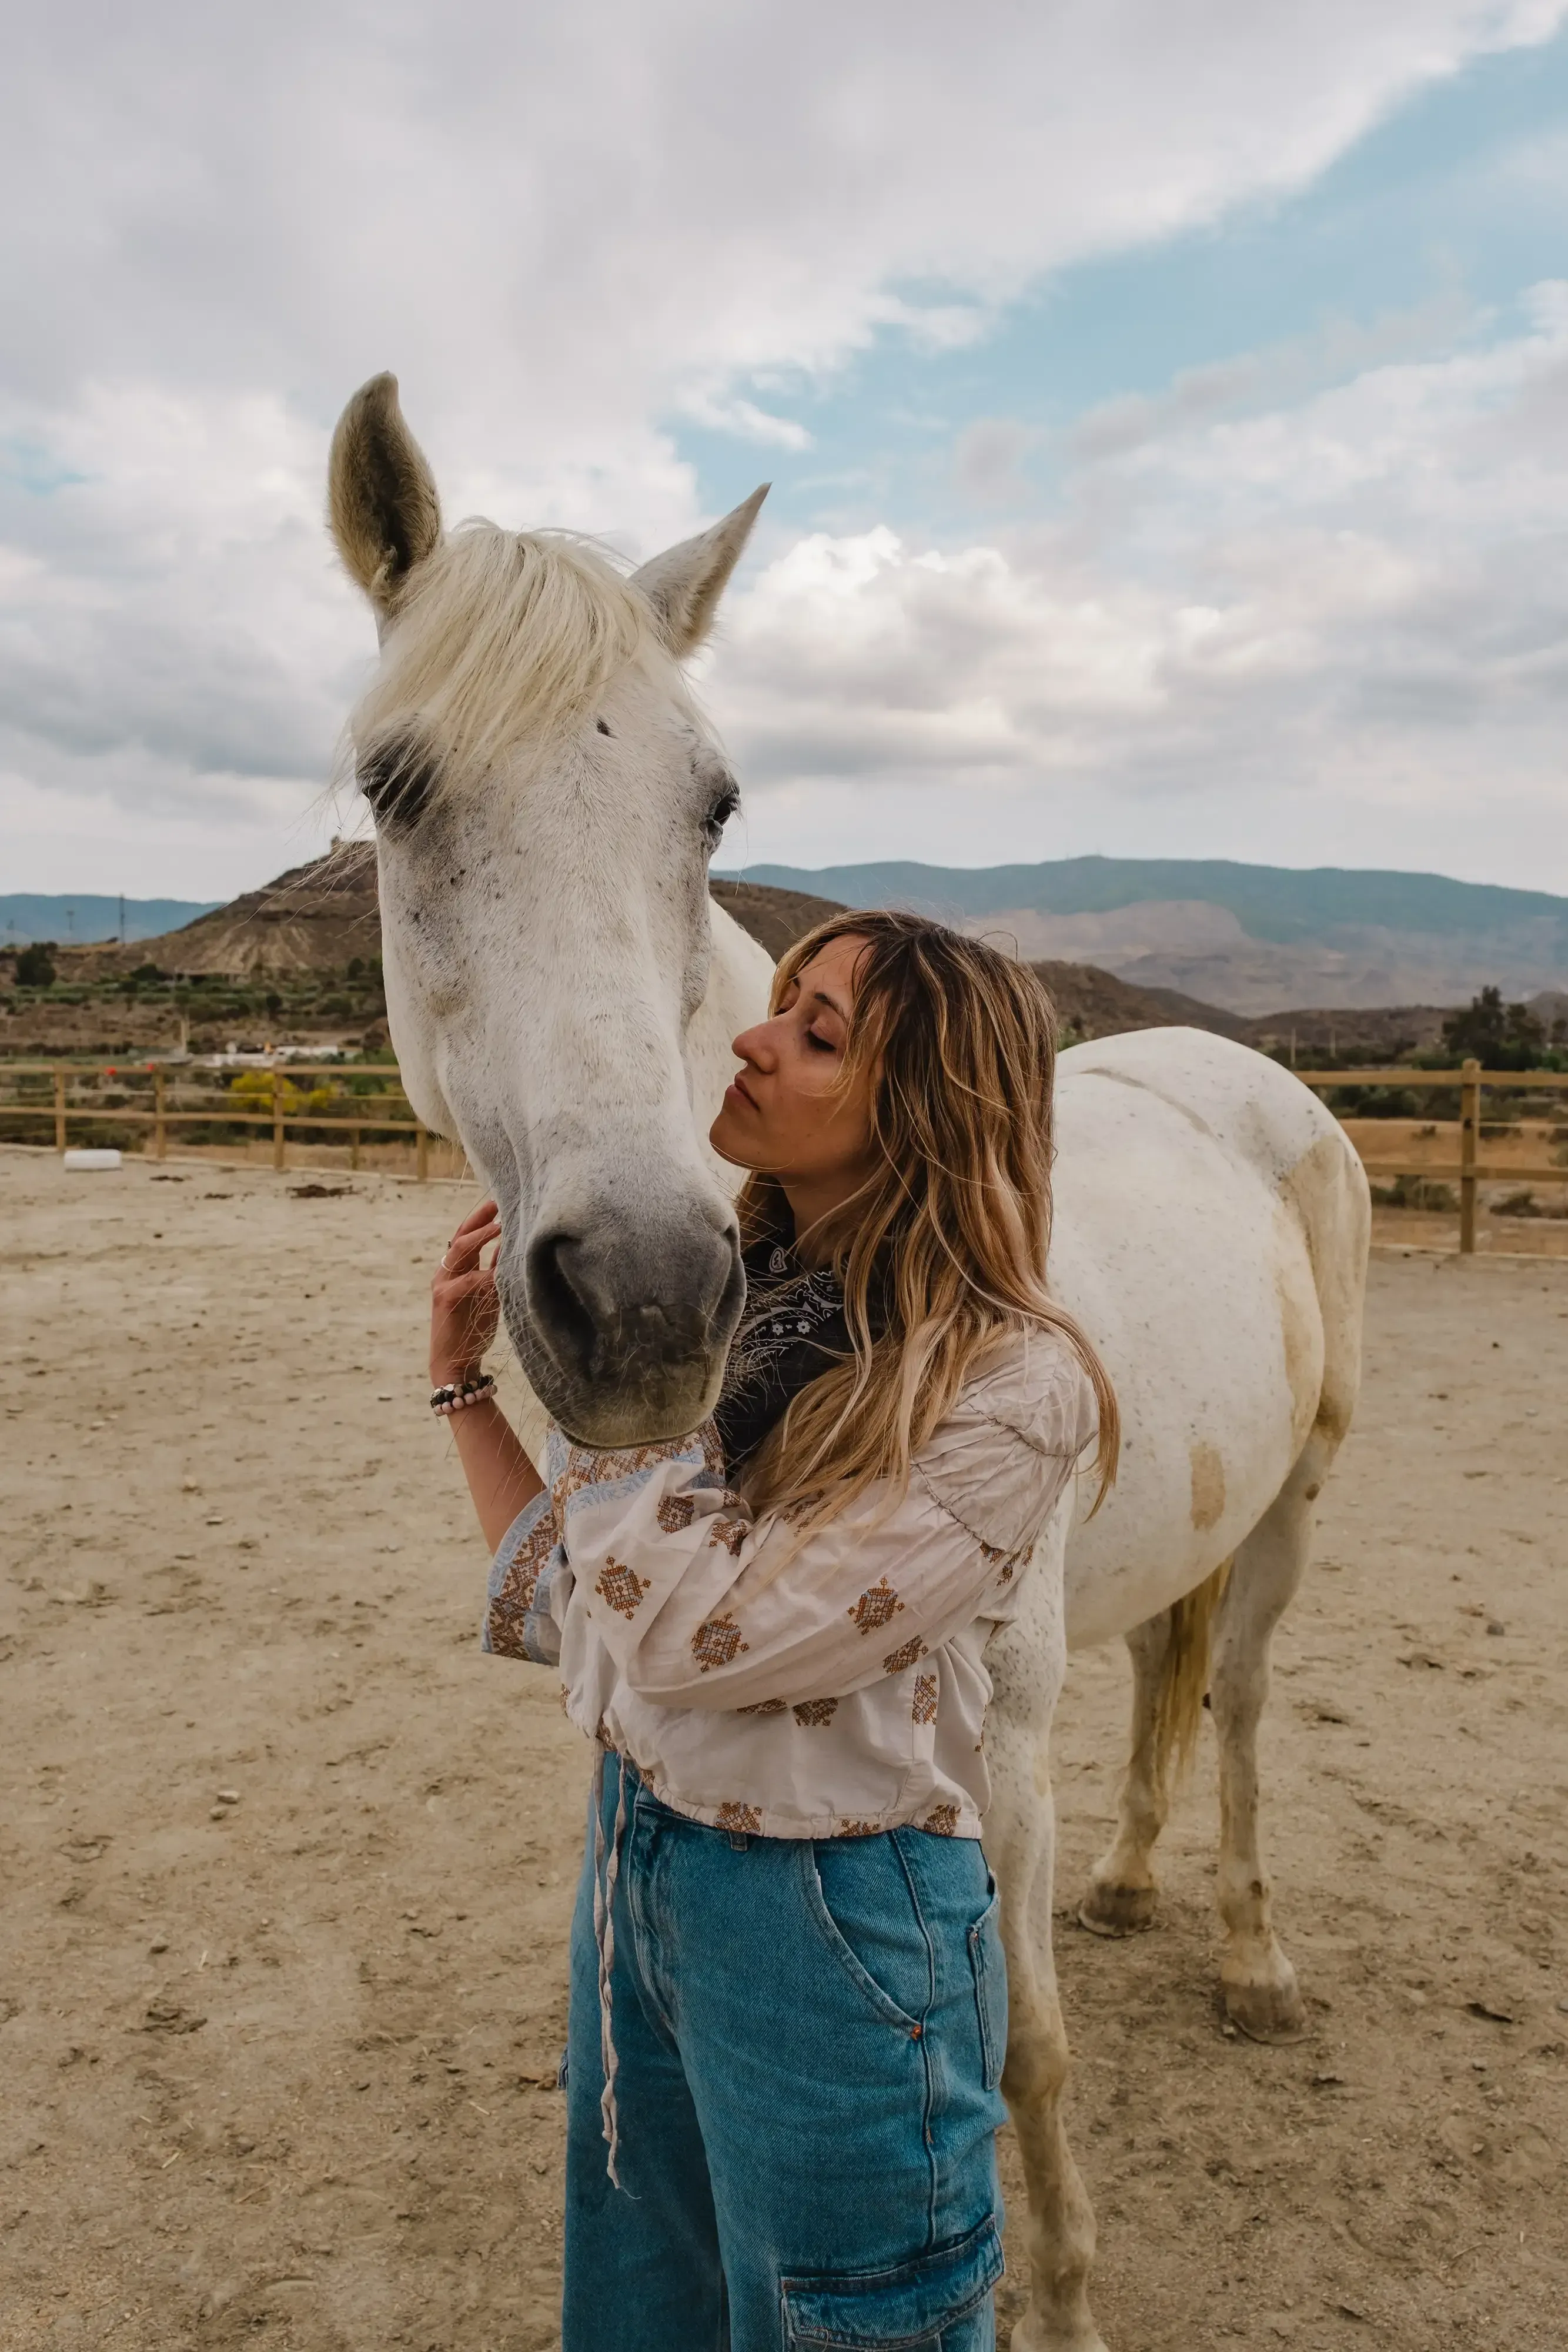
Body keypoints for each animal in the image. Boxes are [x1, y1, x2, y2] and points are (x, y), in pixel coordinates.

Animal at [327, 372, 1370, 2352]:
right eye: (392, 786)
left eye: (715, 799)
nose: (650, 1293)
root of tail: (1238, 1074)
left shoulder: (998, 1753)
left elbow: (1025, 2055)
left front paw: (1064, 2302)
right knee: (1173, 1678)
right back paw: (1136, 1886)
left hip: (1293, 1514)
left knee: (1246, 1704)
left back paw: (1257, 1958)